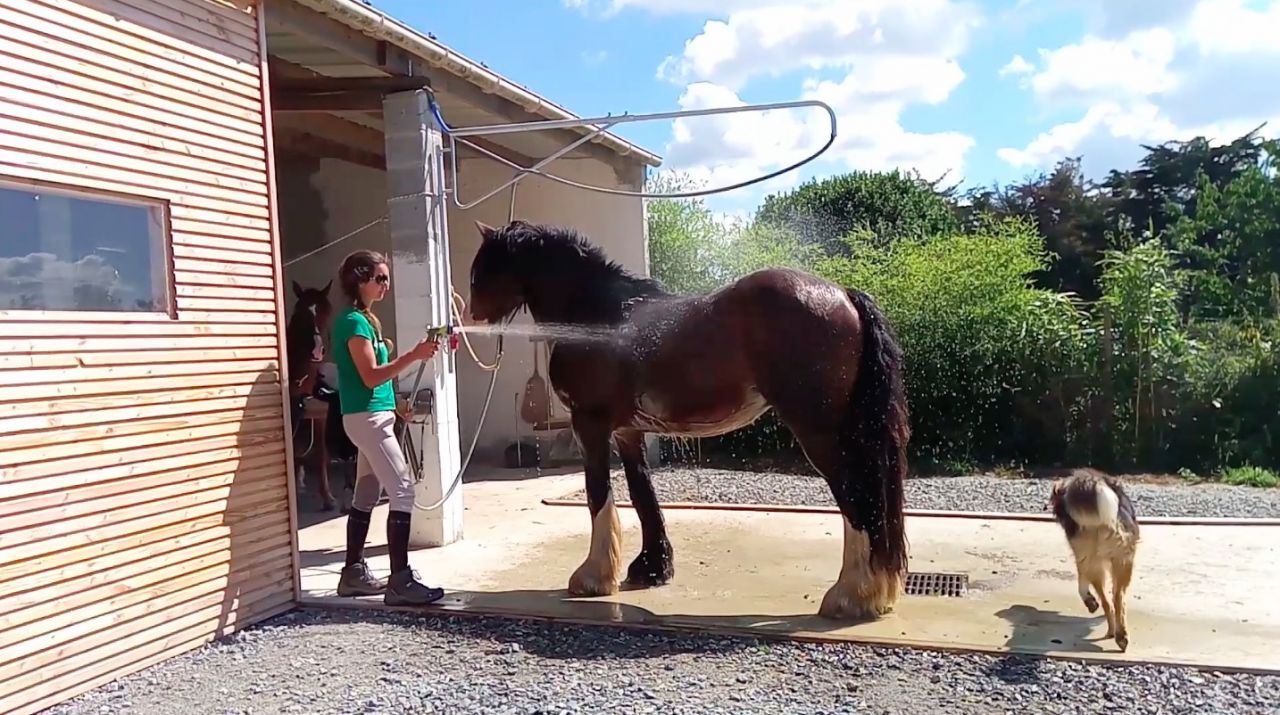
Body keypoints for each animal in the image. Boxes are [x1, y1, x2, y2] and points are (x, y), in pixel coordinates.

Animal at [465, 219, 911, 620]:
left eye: (481, 269)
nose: (471, 315)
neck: (597, 311)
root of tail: (844, 295)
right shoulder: (628, 431)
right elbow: (642, 495)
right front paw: (651, 569)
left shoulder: (590, 424)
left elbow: (598, 495)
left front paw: (592, 578)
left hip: (818, 431)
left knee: (856, 496)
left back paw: (850, 597)